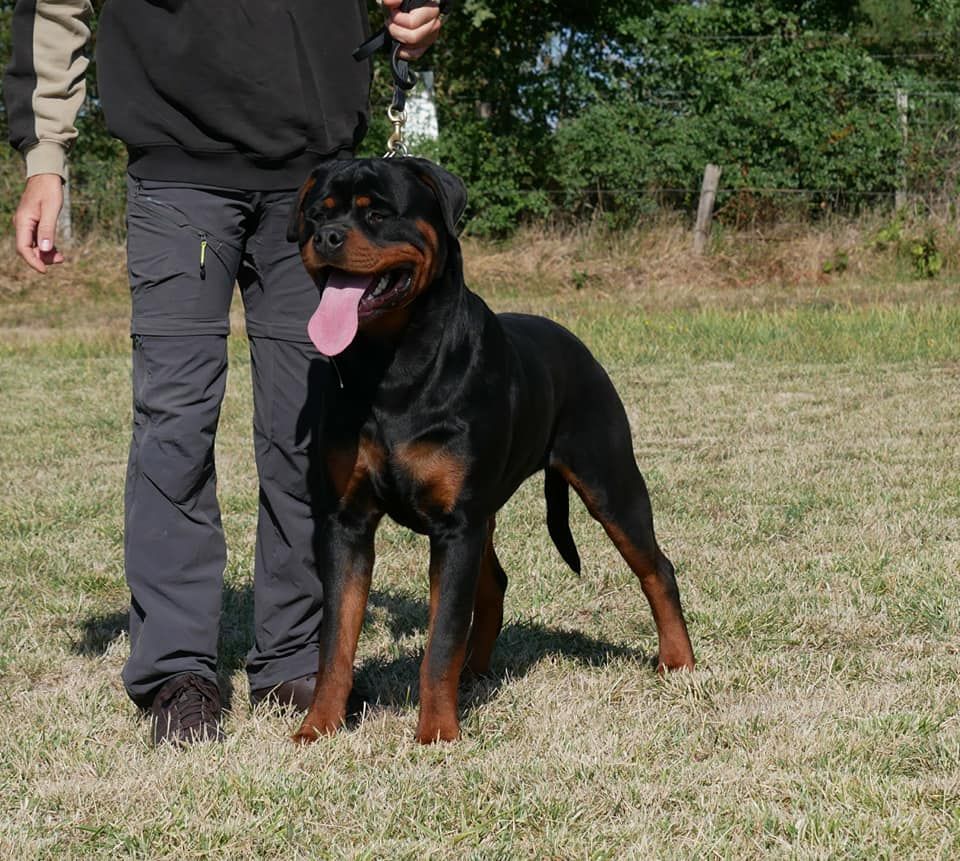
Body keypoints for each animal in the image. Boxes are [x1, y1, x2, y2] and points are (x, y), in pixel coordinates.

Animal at [288, 158, 692, 744]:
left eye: (378, 213)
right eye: (317, 214)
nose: (327, 237)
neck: (390, 367)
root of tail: (579, 346)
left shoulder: (456, 524)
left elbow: (440, 641)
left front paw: (436, 734)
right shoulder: (348, 522)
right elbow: (336, 641)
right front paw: (317, 728)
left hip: (609, 481)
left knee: (656, 567)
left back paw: (678, 661)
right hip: (489, 514)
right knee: (493, 584)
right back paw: (475, 673)